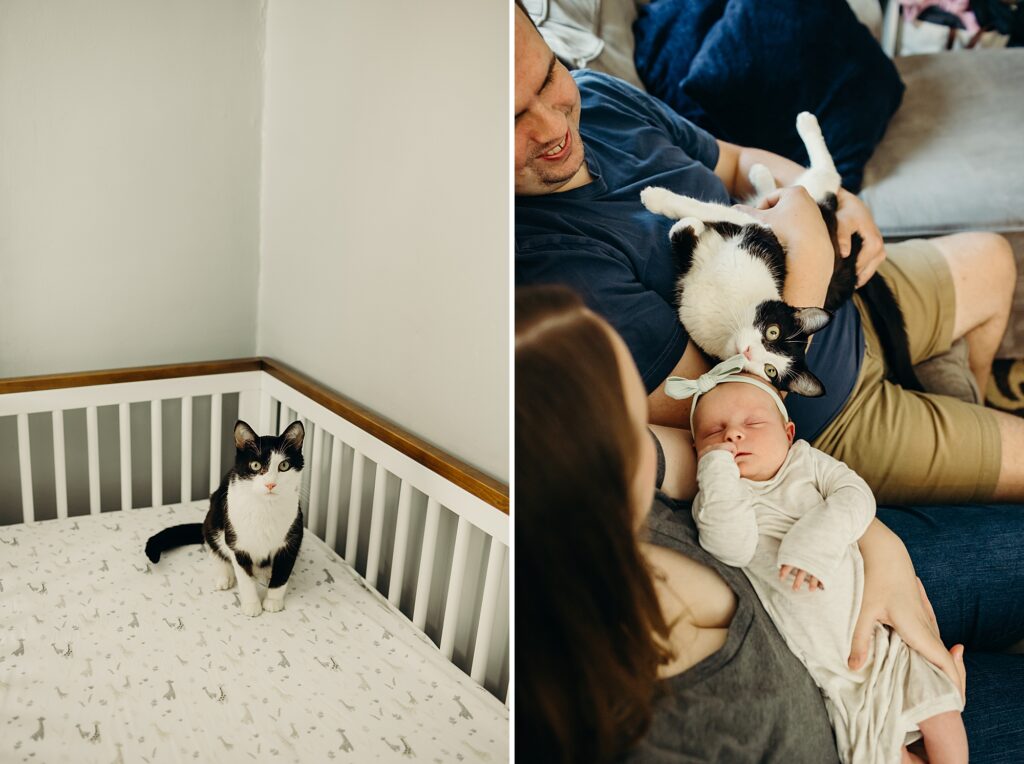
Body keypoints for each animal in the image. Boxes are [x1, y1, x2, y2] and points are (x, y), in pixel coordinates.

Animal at [144, 419, 303, 614]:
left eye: (284, 466)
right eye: (255, 465)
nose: (270, 484)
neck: (265, 508)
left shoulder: (293, 536)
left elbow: (282, 574)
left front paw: (273, 601)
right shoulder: (236, 542)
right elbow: (244, 577)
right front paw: (252, 605)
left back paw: (266, 573)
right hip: (213, 517)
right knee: (214, 546)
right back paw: (224, 575)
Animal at [638, 111, 921, 399]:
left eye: (770, 371)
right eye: (773, 332)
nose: (748, 352)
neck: (731, 314)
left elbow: (698, 219)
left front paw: (665, 206)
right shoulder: (763, 231)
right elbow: (708, 214)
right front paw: (664, 204)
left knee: (828, 175)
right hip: (808, 201)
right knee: (824, 178)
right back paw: (777, 156)